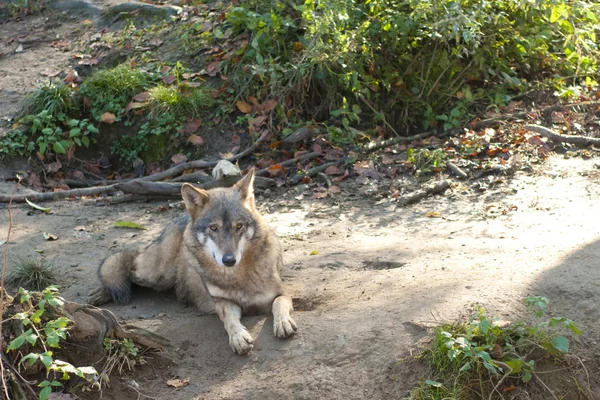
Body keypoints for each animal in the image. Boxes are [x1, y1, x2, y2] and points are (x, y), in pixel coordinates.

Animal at [87, 169, 298, 354]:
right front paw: (238, 337)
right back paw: (99, 295)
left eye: (239, 226)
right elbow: (230, 320)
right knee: (128, 264)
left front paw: (283, 323)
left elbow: (279, 303)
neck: (239, 276)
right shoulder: (223, 303)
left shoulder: (282, 293)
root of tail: (181, 219)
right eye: (213, 228)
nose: (229, 260)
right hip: (157, 275)